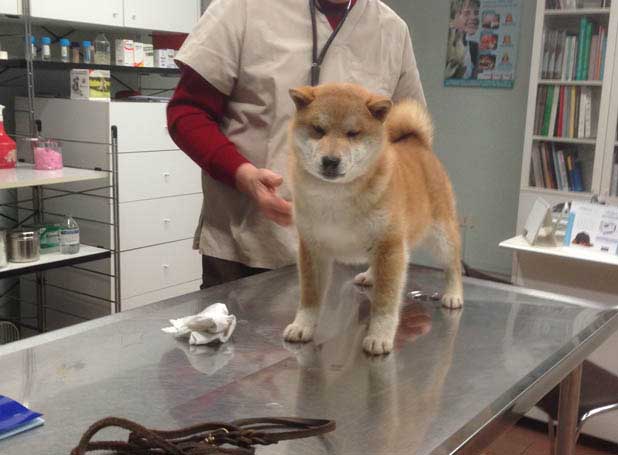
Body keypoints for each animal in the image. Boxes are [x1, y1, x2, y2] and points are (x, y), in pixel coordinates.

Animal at [282, 83, 460, 356]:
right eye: (318, 130)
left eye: (353, 133)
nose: (330, 161)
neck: (334, 196)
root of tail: (417, 142)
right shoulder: (312, 248)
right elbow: (310, 297)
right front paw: (303, 325)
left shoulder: (390, 244)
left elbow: (386, 302)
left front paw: (380, 335)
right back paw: (369, 275)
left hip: (440, 235)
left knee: (453, 264)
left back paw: (453, 293)